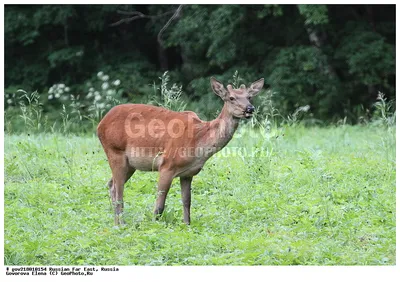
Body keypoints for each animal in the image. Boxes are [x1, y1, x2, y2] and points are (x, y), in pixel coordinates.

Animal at [97, 76, 264, 225]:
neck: (198, 142)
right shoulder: (166, 166)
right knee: (118, 190)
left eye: (249, 97)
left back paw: (118, 222)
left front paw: (187, 225)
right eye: (231, 98)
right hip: (114, 151)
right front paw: (154, 226)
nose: (250, 109)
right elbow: (159, 206)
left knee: (111, 184)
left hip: (130, 165)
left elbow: (187, 201)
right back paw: (121, 224)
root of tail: (101, 124)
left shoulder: (188, 173)